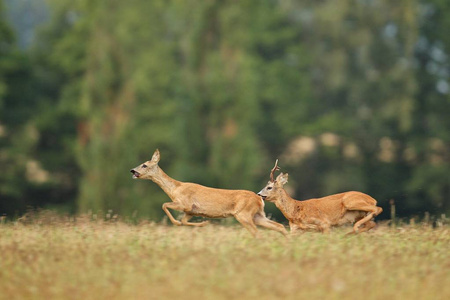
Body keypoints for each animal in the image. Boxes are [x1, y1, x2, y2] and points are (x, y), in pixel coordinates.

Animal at [129, 149, 288, 237]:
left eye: (144, 165)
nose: (132, 170)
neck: (175, 189)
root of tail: (259, 198)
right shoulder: (190, 211)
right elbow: (184, 221)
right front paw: (204, 223)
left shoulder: (185, 204)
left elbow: (164, 205)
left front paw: (177, 223)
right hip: (257, 215)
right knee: (279, 226)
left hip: (244, 214)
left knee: (257, 233)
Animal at [256, 159, 384, 234]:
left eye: (269, 187)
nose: (259, 194)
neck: (295, 210)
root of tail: (372, 199)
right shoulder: (295, 229)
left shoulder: (325, 223)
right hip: (359, 214)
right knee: (372, 222)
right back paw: (351, 233)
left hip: (351, 202)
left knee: (378, 208)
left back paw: (355, 228)